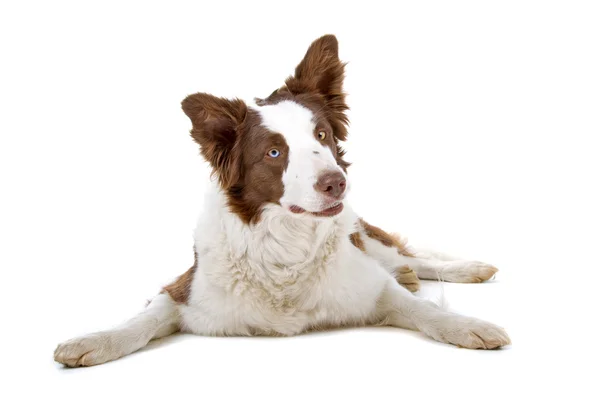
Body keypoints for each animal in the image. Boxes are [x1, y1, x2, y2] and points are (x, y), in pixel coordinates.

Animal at [54, 36, 508, 368]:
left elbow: (424, 310)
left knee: (410, 256)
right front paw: (94, 340)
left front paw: (468, 326)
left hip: (367, 236)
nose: (337, 183)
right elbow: (141, 320)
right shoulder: (184, 290)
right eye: (274, 152)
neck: (287, 250)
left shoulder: (372, 287)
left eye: (322, 135)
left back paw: (463, 268)